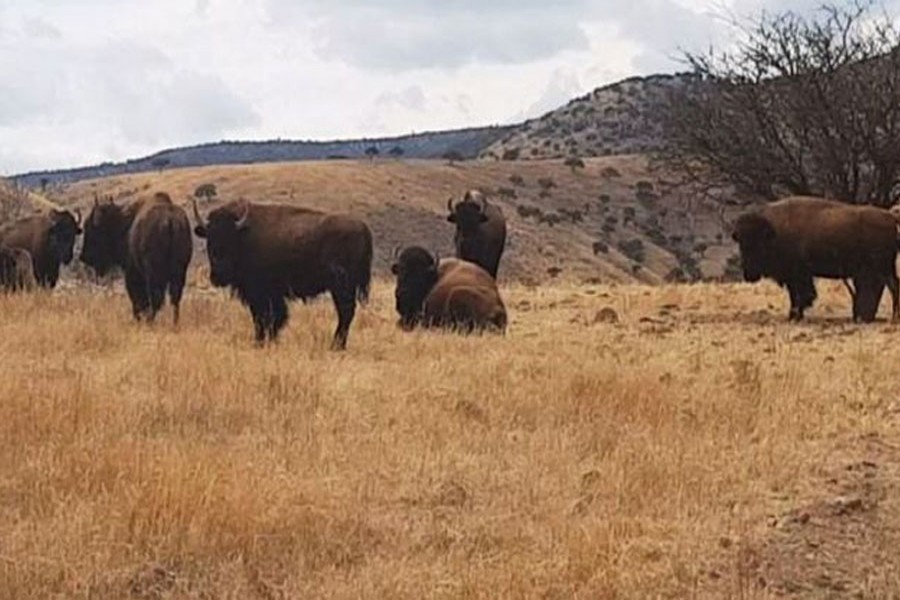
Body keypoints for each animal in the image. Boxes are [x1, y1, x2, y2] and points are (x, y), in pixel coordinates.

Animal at [81, 192, 193, 324]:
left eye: (91, 228)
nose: (84, 257)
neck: (122, 222)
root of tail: (170, 221)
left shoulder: (132, 274)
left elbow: (137, 298)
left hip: (154, 275)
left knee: (155, 299)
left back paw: (150, 321)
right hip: (179, 273)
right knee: (174, 300)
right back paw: (173, 323)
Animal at [190, 198, 372, 346]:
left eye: (230, 238)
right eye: (210, 238)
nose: (218, 275)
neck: (244, 235)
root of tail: (363, 227)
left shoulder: (262, 294)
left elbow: (266, 318)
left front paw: (261, 341)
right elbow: (266, 318)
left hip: (342, 287)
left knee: (346, 312)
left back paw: (335, 346)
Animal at [732, 197, 900, 322]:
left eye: (758, 244)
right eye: (741, 244)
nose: (749, 274)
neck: (775, 232)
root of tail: (891, 218)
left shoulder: (797, 275)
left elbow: (800, 295)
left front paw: (794, 316)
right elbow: (797, 295)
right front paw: (795, 315)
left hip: (882, 268)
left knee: (892, 287)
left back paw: (893, 317)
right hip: (884, 268)